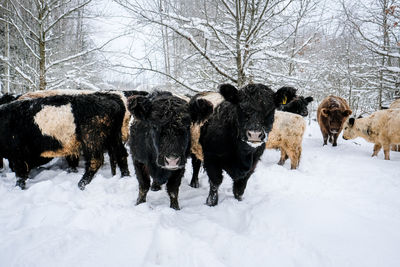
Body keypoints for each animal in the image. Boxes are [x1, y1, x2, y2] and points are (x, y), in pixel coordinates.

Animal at [0, 93, 128, 189]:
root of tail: (110, 97)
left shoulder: (17, 153)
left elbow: (20, 174)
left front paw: (18, 187)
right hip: (114, 137)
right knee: (121, 154)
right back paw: (125, 176)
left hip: (92, 138)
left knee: (95, 160)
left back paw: (82, 184)